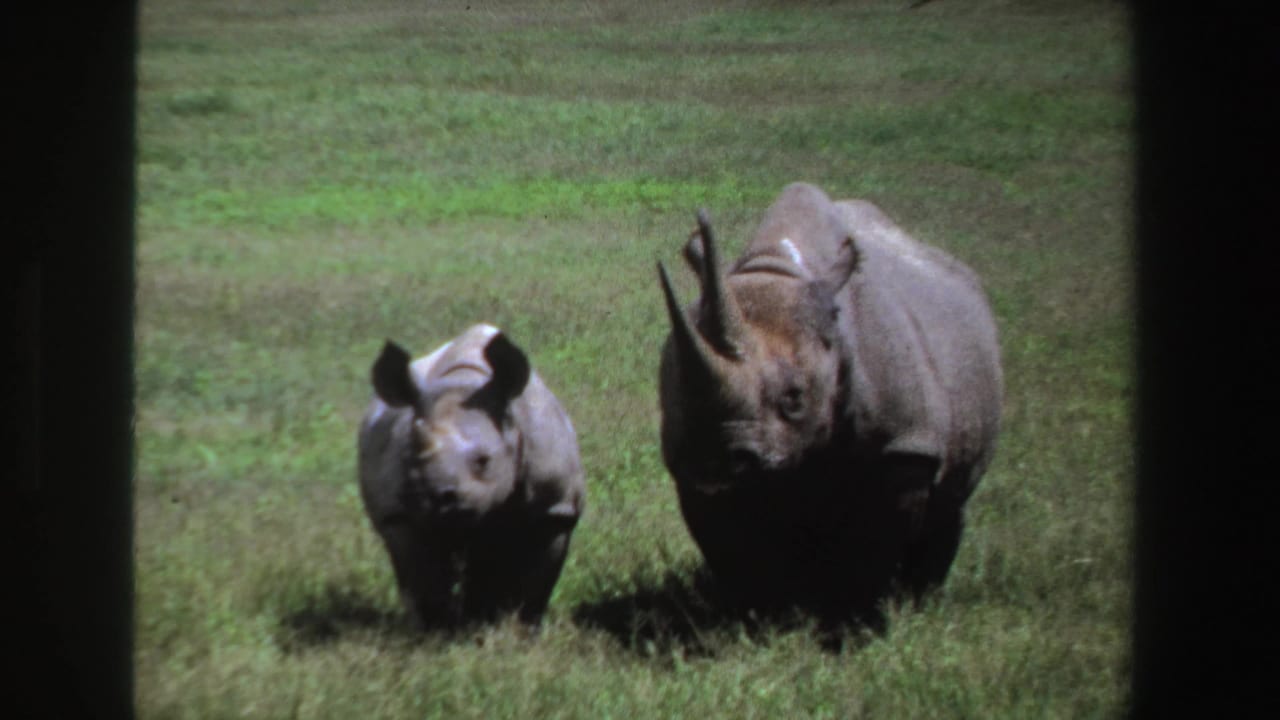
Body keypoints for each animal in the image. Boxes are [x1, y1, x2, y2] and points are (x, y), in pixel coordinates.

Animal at [357, 324, 585, 629]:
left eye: (483, 461)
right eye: (412, 457)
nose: (438, 495)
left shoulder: (554, 509)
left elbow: (536, 584)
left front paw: (523, 630)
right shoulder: (399, 516)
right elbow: (424, 582)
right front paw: (438, 632)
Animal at [657, 182, 1002, 618]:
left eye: (794, 399)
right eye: (682, 396)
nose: (718, 460)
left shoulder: (904, 444)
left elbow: (877, 541)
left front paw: (858, 615)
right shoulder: (692, 463)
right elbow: (733, 544)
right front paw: (761, 612)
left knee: (950, 502)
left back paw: (922, 600)